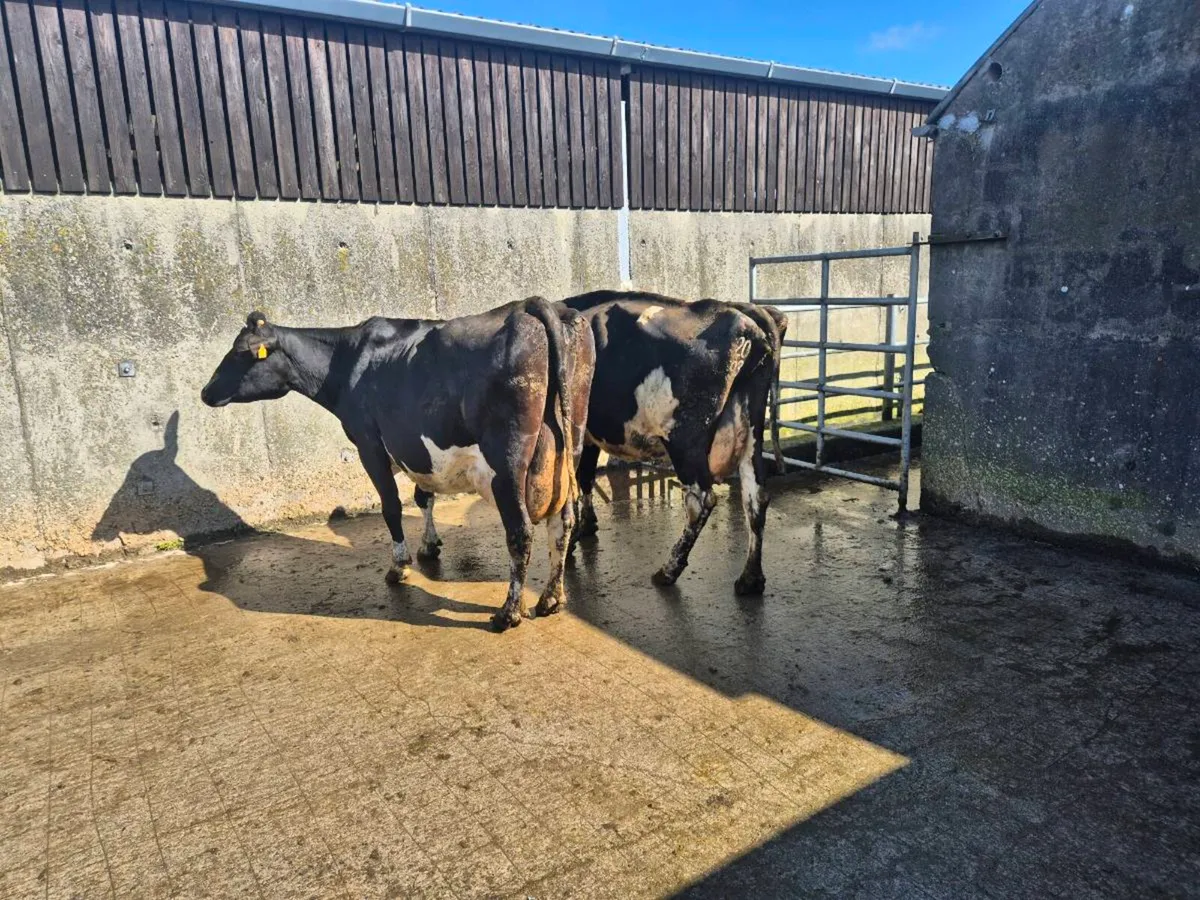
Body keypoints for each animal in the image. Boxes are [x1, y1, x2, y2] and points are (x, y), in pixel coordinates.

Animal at [200, 297, 594, 632]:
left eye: (241, 353)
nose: (205, 392)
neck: (345, 363)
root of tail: (532, 304)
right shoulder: (413, 447)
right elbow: (424, 496)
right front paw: (429, 546)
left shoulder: (370, 445)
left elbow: (391, 507)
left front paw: (398, 566)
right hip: (570, 443)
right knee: (563, 522)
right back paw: (551, 598)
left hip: (508, 462)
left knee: (520, 531)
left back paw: (509, 612)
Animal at [560, 291, 787, 596]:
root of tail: (739, 311)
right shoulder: (588, 436)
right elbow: (584, 477)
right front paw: (587, 526)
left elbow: (575, 481)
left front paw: (574, 536)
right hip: (750, 428)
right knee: (756, 496)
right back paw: (750, 579)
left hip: (685, 439)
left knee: (701, 500)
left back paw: (668, 570)